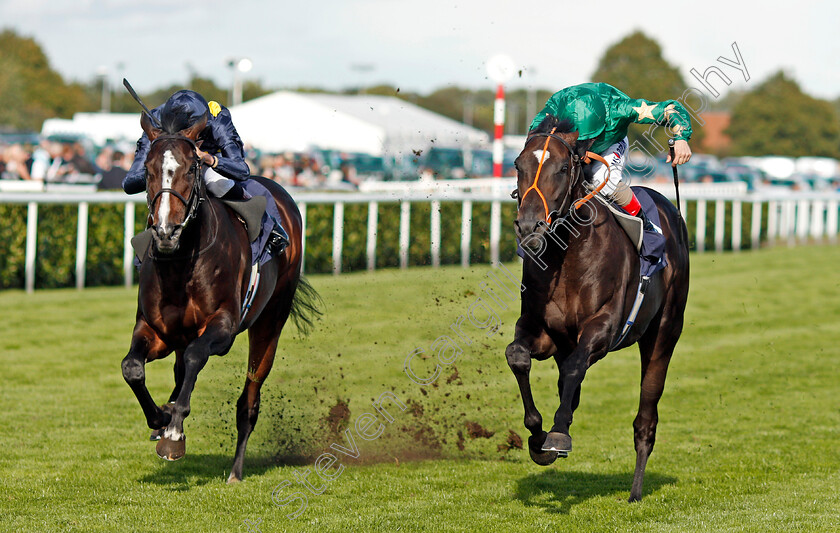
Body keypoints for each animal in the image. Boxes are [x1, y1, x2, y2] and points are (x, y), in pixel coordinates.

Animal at [121, 112, 322, 482]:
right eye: (149, 170)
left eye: (191, 169)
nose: (166, 231)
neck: (181, 264)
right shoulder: (155, 329)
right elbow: (132, 368)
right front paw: (161, 418)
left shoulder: (224, 328)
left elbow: (195, 357)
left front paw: (174, 433)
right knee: (179, 370)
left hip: (270, 322)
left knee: (249, 400)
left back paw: (235, 470)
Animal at [506, 117, 688, 502]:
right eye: (518, 166)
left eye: (562, 169)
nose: (529, 227)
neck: (567, 255)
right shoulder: (542, 331)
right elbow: (518, 356)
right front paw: (537, 437)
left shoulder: (602, 329)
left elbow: (575, 368)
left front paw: (558, 434)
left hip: (664, 334)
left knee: (645, 418)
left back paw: (635, 491)